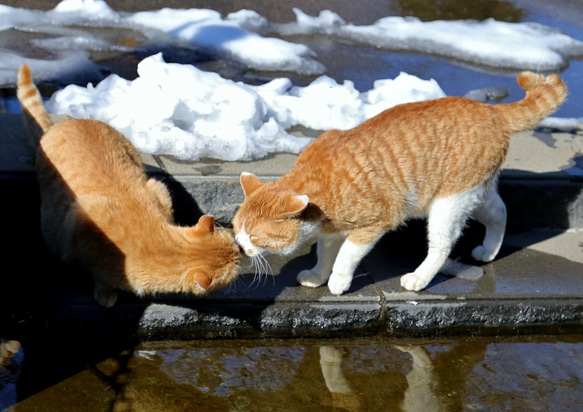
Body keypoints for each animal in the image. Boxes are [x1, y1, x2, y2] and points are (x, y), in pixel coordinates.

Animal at [17, 64, 242, 308]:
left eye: (234, 248)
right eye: (235, 265)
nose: (241, 253)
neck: (159, 245)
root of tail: (60, 124)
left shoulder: (158, 189)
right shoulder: (79, 219)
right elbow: (97, 272)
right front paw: (105, 290)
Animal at [235, 72, 568, 294]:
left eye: (255, 236)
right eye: (236, 228)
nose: (239, 245)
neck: (316, 180)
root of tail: (490, 109)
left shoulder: (376, 222)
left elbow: (346, 255)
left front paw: (338, 280)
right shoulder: (330, 230)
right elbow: (325, 252)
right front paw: (318, 275)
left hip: (449, 203)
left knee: (442, 246)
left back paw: (419, 278)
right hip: (474, 192)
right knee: (500, 211)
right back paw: (489, 250)